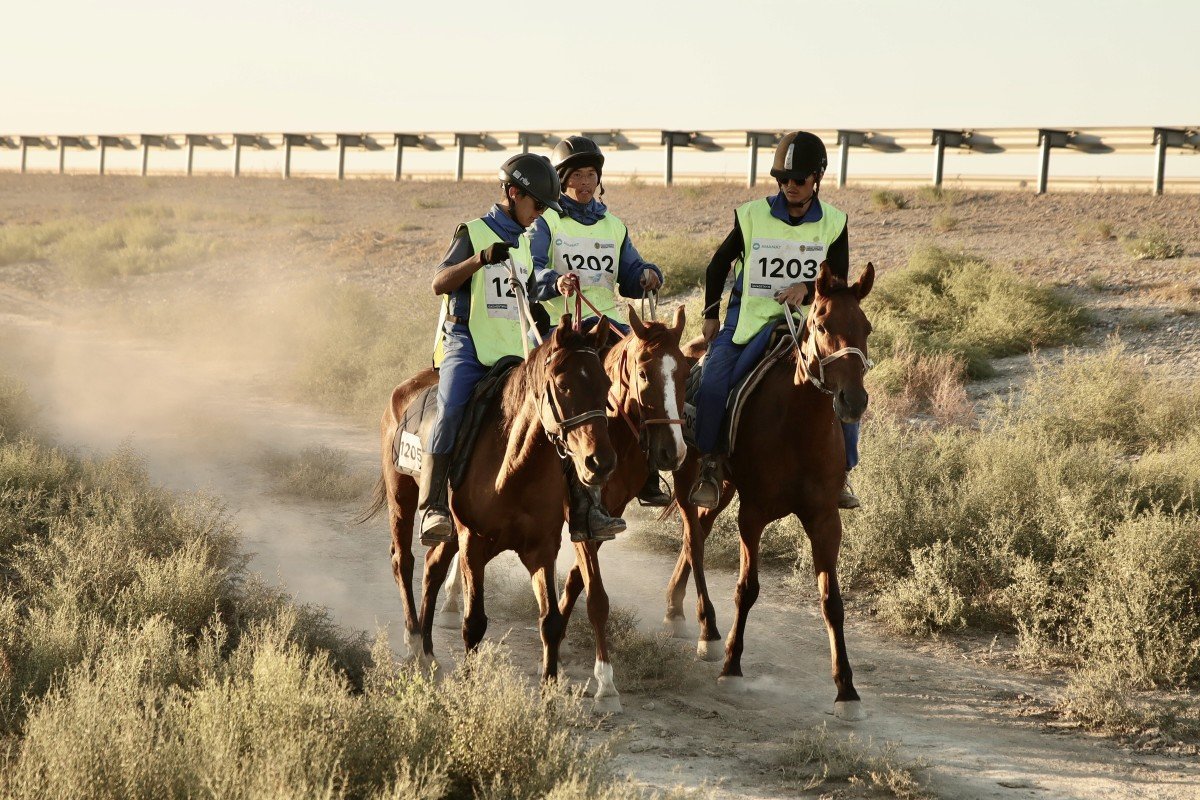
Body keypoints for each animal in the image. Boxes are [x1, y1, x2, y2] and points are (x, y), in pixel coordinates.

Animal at [362, 316, 609, 686]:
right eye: (564, 385)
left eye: (606, 384)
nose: (600, 462)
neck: (515, 467)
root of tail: (405, 387)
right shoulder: (474, 544)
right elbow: (474, 623)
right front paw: (469, 685)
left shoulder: (542, 548)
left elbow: (550, 621)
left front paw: (551, 690)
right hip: (402, 496)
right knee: (403, 561)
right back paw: (415, 642)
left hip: (449, 529)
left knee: (432, 569)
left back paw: (428, 653)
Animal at [552, 302, 686, 705]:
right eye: (643, 373)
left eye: (686, 371)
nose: (672, 452)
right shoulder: (579, 517)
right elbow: (596, 598)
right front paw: (606, 683)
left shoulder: (603, 519)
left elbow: (576, 584)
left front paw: (556, 641)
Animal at [667, 263, 873, 724]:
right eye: (822, 324)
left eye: (866, 328)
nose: (853, 401)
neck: (799, 424)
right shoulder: (754, 514)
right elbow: (747, 588)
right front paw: (732, 666)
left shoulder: (824, 519)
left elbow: (831, 600)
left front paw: (847, 689)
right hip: (691, 483)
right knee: (694, 541)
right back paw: (708, 631)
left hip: (721, 489)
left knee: (699, 533)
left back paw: (674, 606)